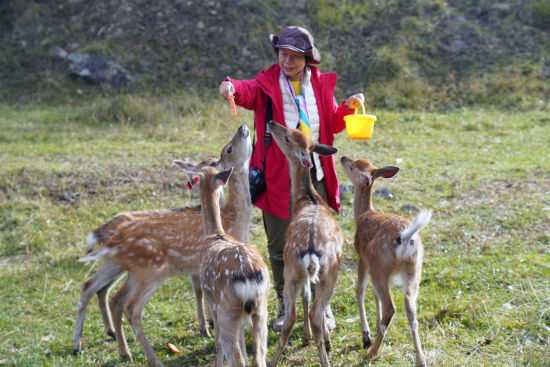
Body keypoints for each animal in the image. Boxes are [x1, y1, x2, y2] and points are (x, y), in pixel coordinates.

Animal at [73, 125, 252, 366]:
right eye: (228, 148)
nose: (242, 127)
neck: (233, 218)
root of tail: (111, 235)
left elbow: (199, 293)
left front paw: (206, 328)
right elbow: (204, 296)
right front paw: (210, 331)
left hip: (118, 265)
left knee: (96, 289)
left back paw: (102, 345)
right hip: (152, 270)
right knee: (127, 306)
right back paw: (145, 356)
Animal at [183, 165, 272, 366]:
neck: (215, 234)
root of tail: (249, 277)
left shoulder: (212, 302)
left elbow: (217, 345)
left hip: (226, 309)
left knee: (234, 355)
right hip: (261, 308)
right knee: (258, 357)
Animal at [268, 121, 344, 367]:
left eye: (289, 137)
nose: (271, 122)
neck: (307, 199)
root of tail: (310, 251)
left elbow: (307, 296)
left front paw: (308, 337)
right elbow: (311, 299)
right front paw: (317, 338)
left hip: (294, 269)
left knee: (295, 313)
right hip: (327, 272)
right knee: (314, 311)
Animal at [340, 156, 432, 367]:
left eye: (351, 166)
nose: (342, 157)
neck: (363, 215)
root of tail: (405, 239)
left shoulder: (362, 256)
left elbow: (360, 290)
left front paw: (366, 335)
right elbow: (374, 295)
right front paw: (374, 326)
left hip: (379, 266)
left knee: (391, 306)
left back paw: (371, 352)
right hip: (413, 269)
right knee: (410, 306)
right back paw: (420, 358)